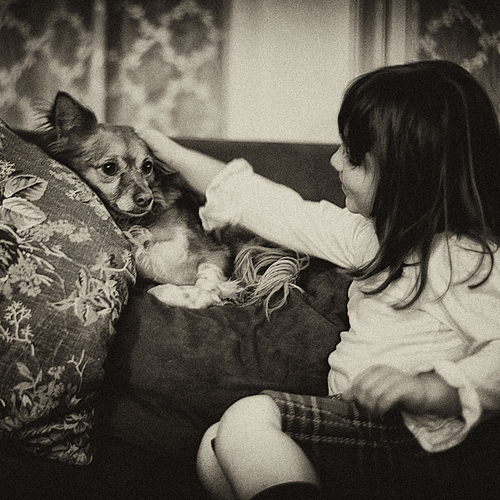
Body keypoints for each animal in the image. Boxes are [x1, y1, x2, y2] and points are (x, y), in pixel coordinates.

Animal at [14, 92, 308, 312]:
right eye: (109, 168)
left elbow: (198, 283)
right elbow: (160, 289)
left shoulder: (216, 253)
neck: (142, 222)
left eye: (148, 166)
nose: (145, 199)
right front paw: (217, 293)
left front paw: (220, 291)